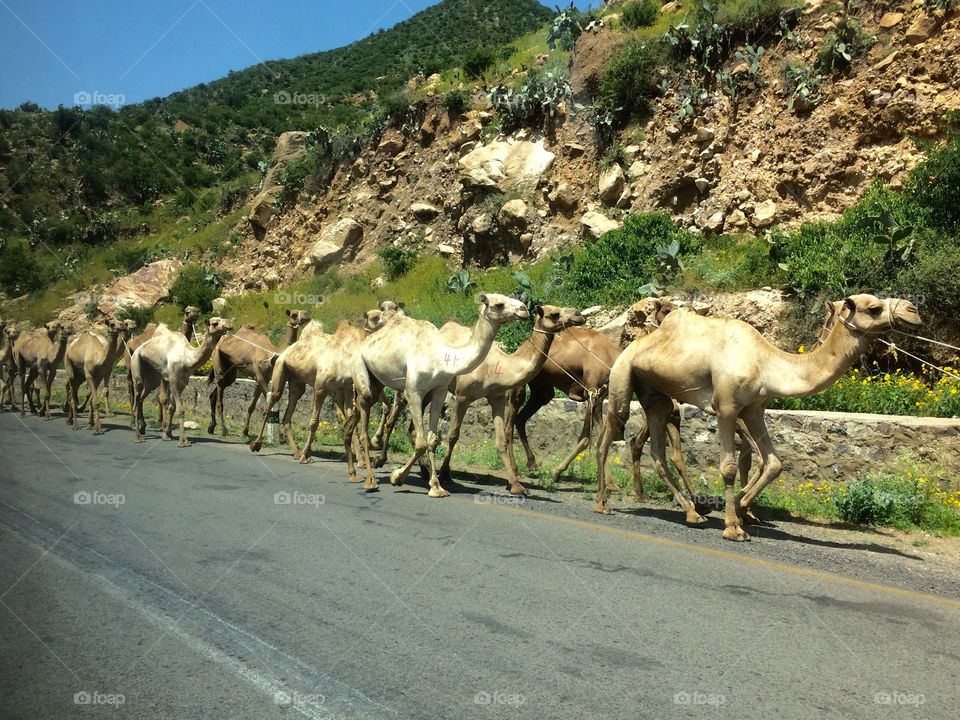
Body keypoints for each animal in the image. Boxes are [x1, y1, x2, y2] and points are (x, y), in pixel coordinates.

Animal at [130, 318, 233, 448]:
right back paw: (137, 437)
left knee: (141, 399)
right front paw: (183, 441)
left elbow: (172, 407)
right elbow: (180, 409)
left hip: (153, 379)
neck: (187, 358)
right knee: (136, 397)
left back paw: (142, 430)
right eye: (215, 323)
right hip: (136, 367)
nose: (229, 324)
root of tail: (135, 350)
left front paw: (167, 435)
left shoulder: (183, 382)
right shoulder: (173, 380)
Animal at [209, 308, 312, 436]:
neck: (271, 353)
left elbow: (251, 405)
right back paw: (224, 430)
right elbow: (267, 403)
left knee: (214, 394)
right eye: (293, 315)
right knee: (219, 400)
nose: (306, 315)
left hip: (230, 370)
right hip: (218, 363)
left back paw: (211, 427)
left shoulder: (265, 378)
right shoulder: (259, 375)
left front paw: (245, 431)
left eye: (303, 311)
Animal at [344, 294, 528, 500]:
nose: (524, 309)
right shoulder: (413, 392)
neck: (441, 356)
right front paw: (397, 477)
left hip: (377, 381)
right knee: (365, 421)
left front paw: (436, 487)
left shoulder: (439, 391)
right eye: (498, 304)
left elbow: (432, 440)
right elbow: (421, 443)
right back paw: (370, 480)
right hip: (359, 368)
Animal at [436, 304, 584, 496]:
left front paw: (516, 485)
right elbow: (453, 435)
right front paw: (444, 475)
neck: (498, 367)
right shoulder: (463, 396)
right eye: (554, 314)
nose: (579, 315)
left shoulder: (496, 397)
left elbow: (501, 441)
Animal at [592, 292, 924, 540]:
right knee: (609, 434)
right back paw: (602, 503)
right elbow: (728, 467)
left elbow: (774, 463)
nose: (914, 310)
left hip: (656, 393)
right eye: (874, 307)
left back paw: (692, 512)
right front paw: (733, 527)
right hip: (623, 375)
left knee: (658, 451)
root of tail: (630, 345)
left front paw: (741, 508)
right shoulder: (726, 407)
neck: (767, 363)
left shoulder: (754, 409)